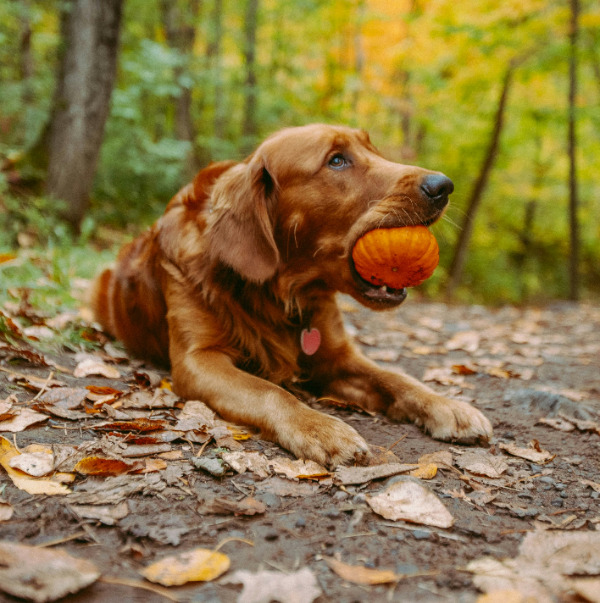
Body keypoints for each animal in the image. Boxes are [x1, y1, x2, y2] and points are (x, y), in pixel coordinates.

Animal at [90, 124, 492, 468]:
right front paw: (320, 428)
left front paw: (448, 406)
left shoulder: (337, 356)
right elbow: (269, 390)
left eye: (373, 149)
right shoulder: (199, 360)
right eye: (336, 160)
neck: (284, 295)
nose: (443, 186)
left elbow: (395, 377)